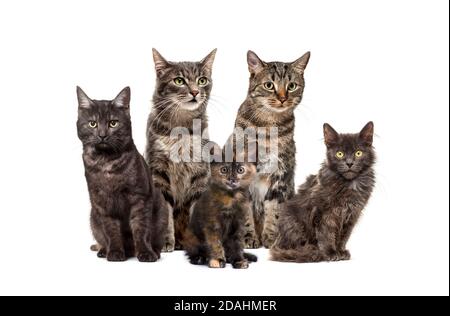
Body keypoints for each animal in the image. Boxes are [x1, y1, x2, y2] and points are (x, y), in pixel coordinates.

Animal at [76, 86, 168, 262]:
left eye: (113, 123)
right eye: (92, 124)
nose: (102, 135)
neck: (106, 163)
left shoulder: (139, 198)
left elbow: (141, 228)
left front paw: (145, 253)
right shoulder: (101, 202)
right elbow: (111, 231)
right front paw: (115, 252)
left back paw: (155, 251)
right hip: (93, 217)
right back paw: (103, 250)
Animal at [147, 48, 217, 252]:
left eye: (202, 80)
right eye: (179, 80)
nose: (195, 91)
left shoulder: (201, 174)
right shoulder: (158, 172)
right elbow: (166, 210)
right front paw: (166, 241)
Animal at [270, 122, 376, 262]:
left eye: (358, 153)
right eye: (340, 154)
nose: (349, 163)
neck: (349, 185)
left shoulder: (352, 214)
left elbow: (343, 236)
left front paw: (341, 251)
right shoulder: (324, 213)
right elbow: (327, 234)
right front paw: (330, 252)